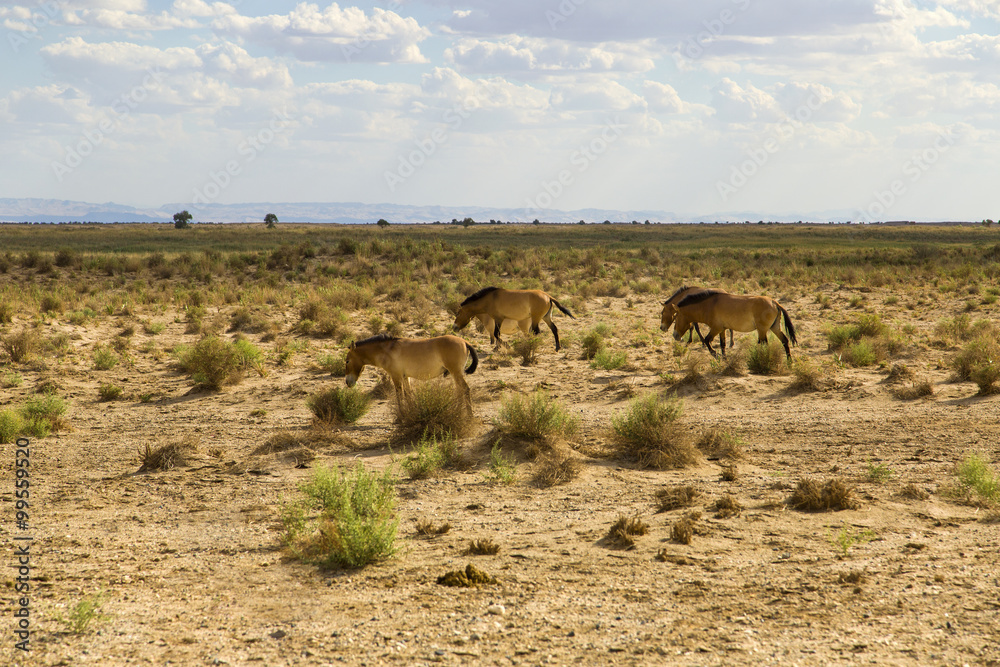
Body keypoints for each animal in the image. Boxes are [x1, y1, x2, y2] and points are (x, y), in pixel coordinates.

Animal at [348, 336, 480, 414]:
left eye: (347, 361)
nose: (348, 382)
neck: (387, 350)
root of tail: (464, 341)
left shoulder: (396, 377)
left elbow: (400, 396)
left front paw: (401, 416)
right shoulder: (406, 377)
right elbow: (408, 395)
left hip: (456, 373)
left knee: (465, 389)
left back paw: (469, 416)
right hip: (455, 374)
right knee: (459, 390)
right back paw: (457, 411)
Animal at [664, 292, 796, 360]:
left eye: (675, 318)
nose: (675, 335)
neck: (708, 305)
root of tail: (775, 302)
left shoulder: (716, 328)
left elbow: (707, 340)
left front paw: (715, 355)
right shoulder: (722, 329)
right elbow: (722, 344)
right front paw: (724, 358)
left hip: (762, 330)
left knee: (765, 344)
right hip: (775, 327)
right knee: (785, 340)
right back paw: (789, 362)